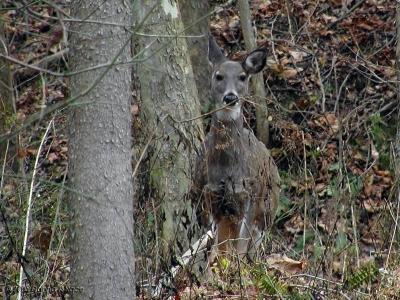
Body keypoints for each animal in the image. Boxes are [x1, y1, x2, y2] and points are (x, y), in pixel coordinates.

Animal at [192, 37, 280, 258]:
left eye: (242, 76)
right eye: (218, 75)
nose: (230, 97)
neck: (226, 168)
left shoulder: (250, 192)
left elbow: (239, 246)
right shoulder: (207, 192)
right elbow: (216, 247)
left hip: (268, 209)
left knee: (252, 245)